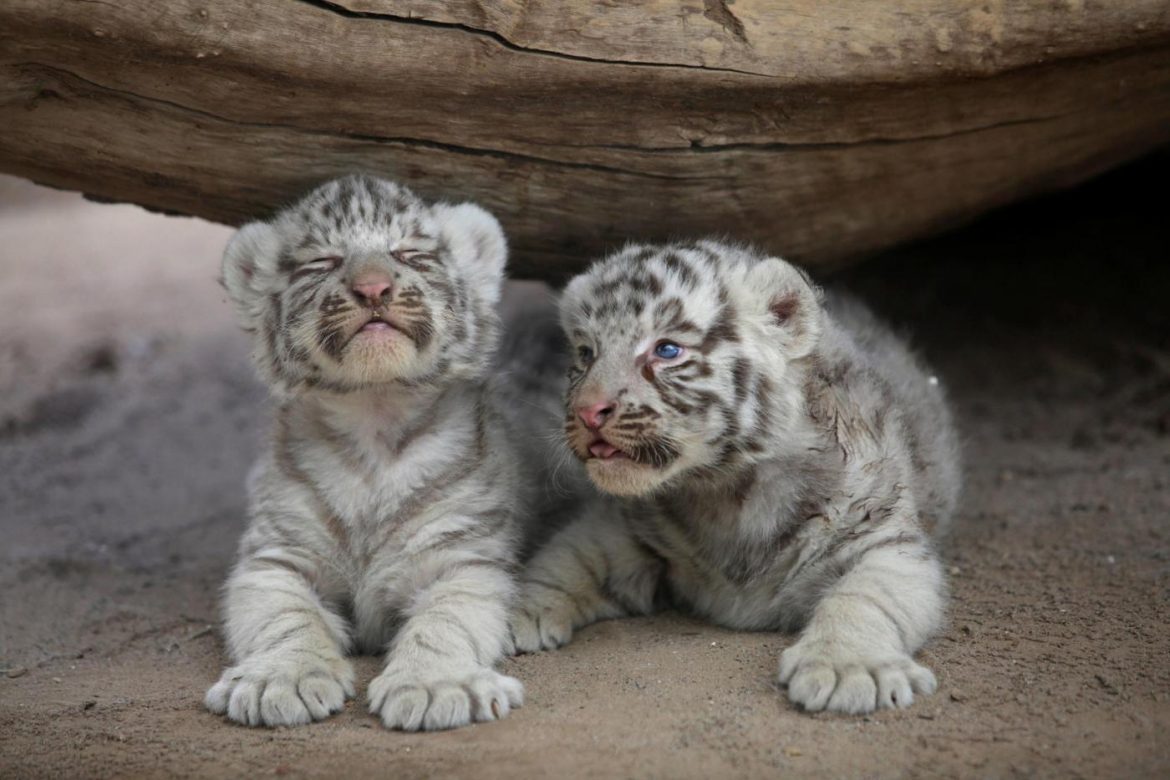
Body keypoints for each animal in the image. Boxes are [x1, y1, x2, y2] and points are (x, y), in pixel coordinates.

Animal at [205, 175, 541, 731]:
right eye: (322, 261)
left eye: (410, 253)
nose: (373, 288)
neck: (374, 418)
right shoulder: (278, 556)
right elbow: (285, 617)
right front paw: (280, 680)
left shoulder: (462, 555)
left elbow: (445, 620)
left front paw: (436, 687)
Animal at [508, 240, 961, 715]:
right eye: (586, 353)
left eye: (666, 350)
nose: (588, 412)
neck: (727, 491)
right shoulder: (625, 529)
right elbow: (566, 560)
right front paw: (515, 612)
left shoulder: (884, 539)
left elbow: (865, 598)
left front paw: (847, 668)